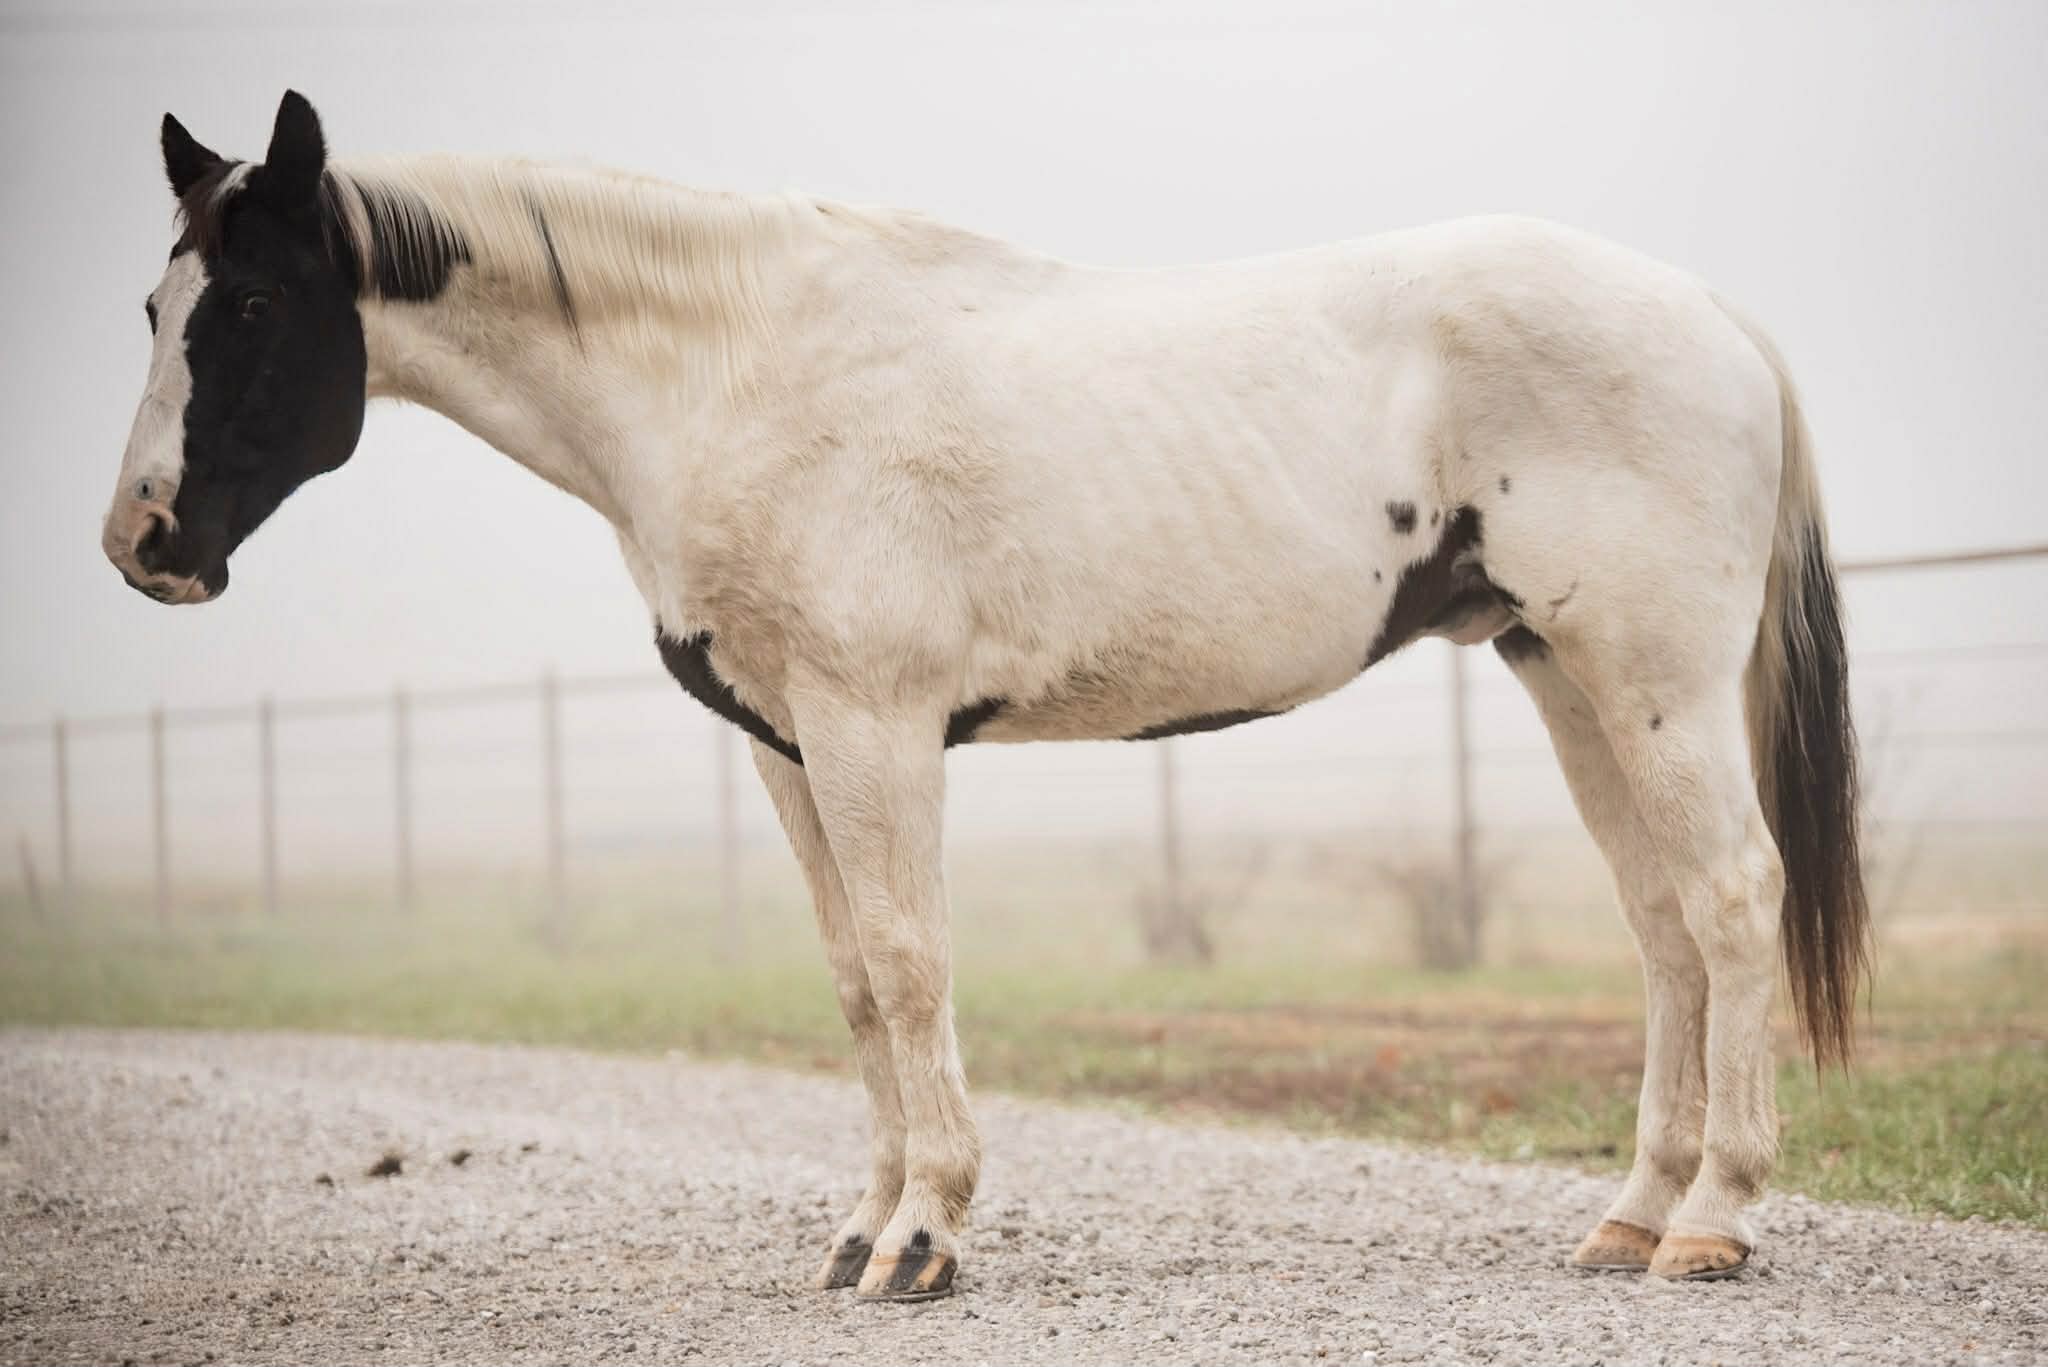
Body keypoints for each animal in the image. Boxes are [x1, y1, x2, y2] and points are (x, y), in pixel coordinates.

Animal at [107, 92, 1868, 1300]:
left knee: (1729, 897)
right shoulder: (790, 748)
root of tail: (1711, 314)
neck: (735, 371)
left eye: (248, 305)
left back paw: (1714, 1220)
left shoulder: (875, 728)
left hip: (1650, 674)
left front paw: (923, 1236)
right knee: (1662, 926)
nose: (143, 542)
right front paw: (861, 1225)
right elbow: (853, 980)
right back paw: (1634, 1213)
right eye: (150, 306)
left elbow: (908, 961)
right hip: (1567, 672)